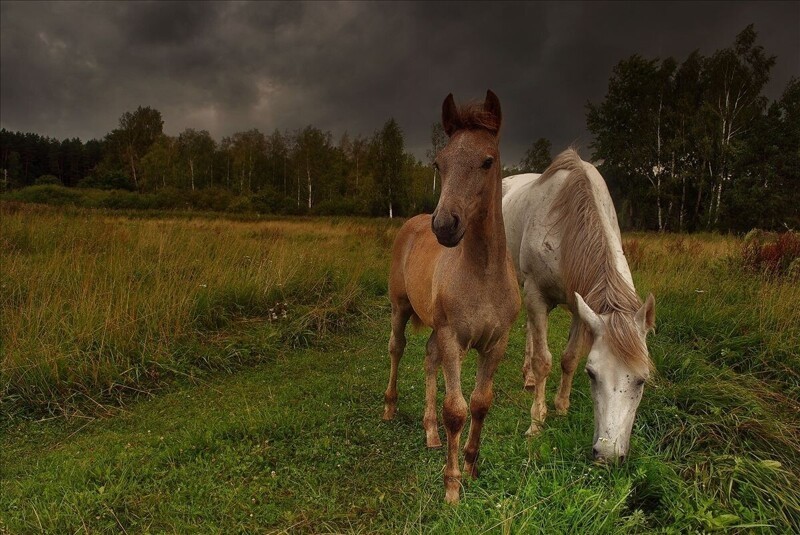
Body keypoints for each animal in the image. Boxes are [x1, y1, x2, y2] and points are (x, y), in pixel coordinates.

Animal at [384, 90, 520, 504]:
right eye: (438, 164)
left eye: (487, 161)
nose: (444, 225)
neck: (483, 275)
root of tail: (411, 223)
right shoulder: (453, 338)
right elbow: (456, 410)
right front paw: (452, 486)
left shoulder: (496, 343)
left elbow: (480, 403)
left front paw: (472, 466)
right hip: (400, 308)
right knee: (397, 348)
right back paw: (390, 408)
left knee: (428, 358)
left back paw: (430, 433)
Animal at [500, 150, 656, 460]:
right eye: (592, 374)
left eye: (642, 380)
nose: (607, 455)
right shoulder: (536, 293)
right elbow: (543, 360)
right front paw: (536, 421)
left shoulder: (578, 305)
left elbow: (568, 358)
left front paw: (561, 406)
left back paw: (529, 378)